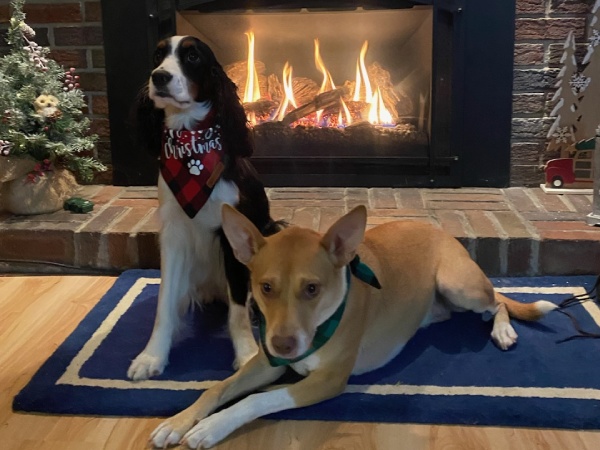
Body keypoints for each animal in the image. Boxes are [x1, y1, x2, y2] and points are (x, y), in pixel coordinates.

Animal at [127, 36, 282, 380]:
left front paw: (246, 353)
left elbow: (238, 311)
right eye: (158, 55)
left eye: (193, 57)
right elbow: (164, 303)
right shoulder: (173, 235)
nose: (159, 77)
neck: (191, 143)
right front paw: (152, 355)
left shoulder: (233, 237)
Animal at [151, 206, 556, 448]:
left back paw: (502, 330)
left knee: (498, 301)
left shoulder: (328, 381)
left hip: (459, 284)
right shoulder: (267, 363)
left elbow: (257, 398)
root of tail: (439, 229)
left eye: (312, 288)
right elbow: (217, 388)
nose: (283, 345)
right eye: (265, 287)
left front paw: (211, 427)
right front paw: (179, 421)